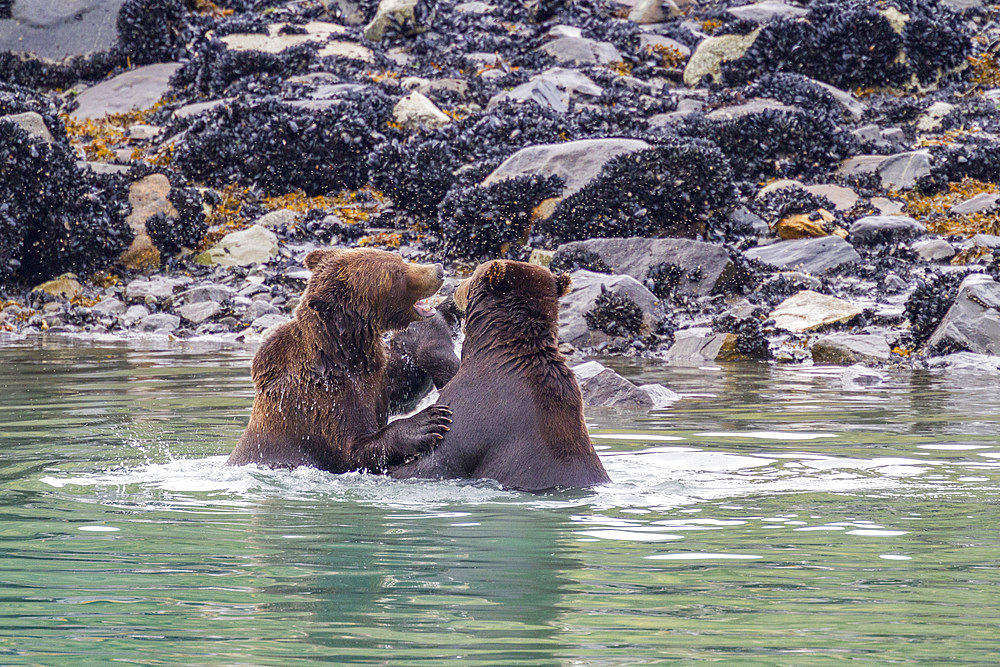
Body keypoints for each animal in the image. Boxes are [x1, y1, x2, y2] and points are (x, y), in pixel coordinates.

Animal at [229, 248, 452, 472]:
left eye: (399, 259)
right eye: (396, 273)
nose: (439, 270)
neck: (344, 354)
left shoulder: (375, 377)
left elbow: (405, 388)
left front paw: (442, 314)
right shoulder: (320, 400)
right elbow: (354, 450)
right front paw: (427, 422)